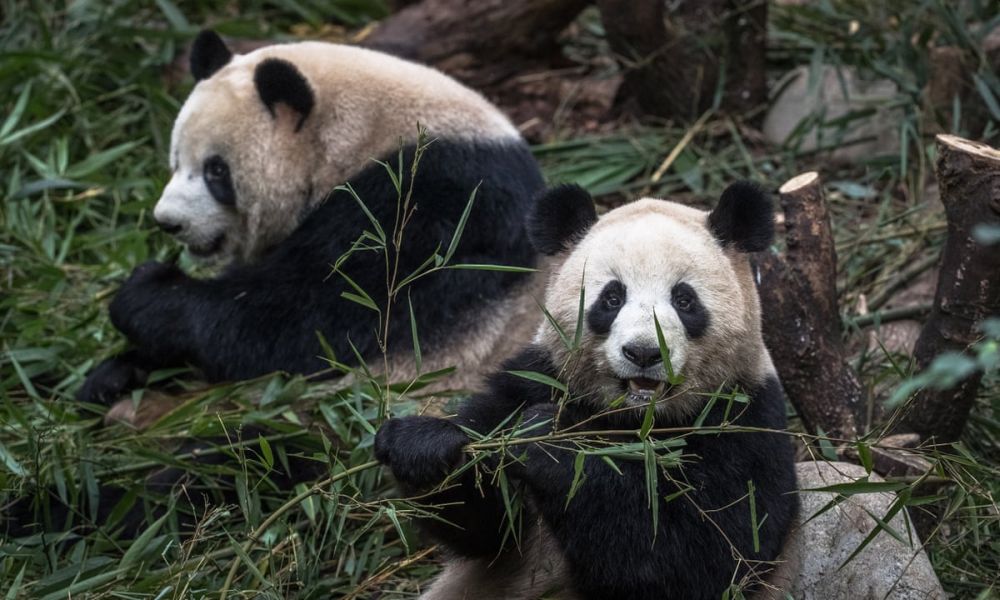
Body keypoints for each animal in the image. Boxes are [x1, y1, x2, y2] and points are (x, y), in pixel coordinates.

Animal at [78, 30, 548, 424]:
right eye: (176, 160)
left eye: (216, 171)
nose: (169, 222)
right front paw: (115, 370)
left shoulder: (436, 203)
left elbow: (302, 320)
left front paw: (146, 290)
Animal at [374, 183, 796, 600]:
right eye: (611, 298)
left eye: (684, 299)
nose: (643, 352)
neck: (635, 418)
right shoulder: (537, 378)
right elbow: (488, 530)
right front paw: (424, 446)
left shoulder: (743, 422)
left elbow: (703, 556)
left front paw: (549, 441)